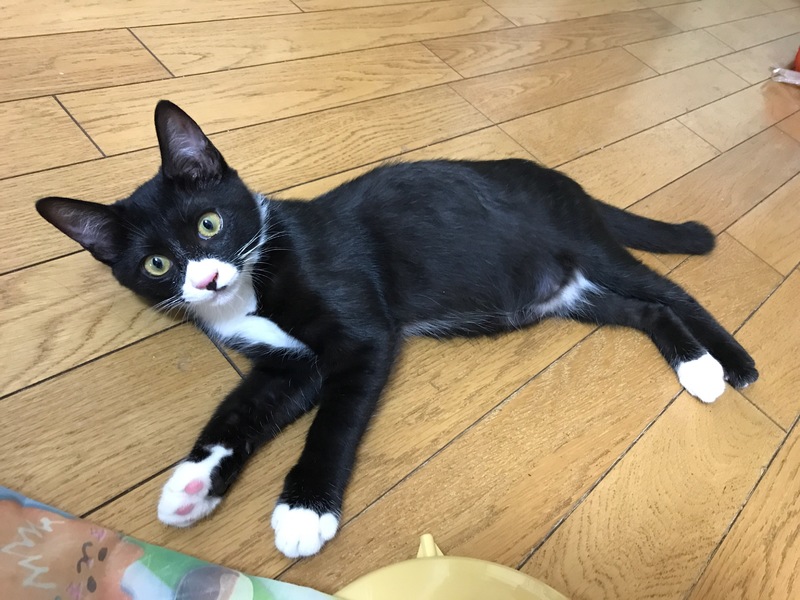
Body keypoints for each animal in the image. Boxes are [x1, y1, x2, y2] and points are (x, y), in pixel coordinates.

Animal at [36, 101, 758, 558]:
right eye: (156, 265)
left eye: (209, 224)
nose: (207, 281)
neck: (252, 283)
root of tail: (565, 181)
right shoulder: (290, 366)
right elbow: (241, 410)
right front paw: (192, 483)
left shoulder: (361, 337)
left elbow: (335, 418)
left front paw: (305, 511)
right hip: (570, 293)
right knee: (643, 311)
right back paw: (695, 365)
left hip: (589, 248)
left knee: (668, 290)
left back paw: (724, 363)